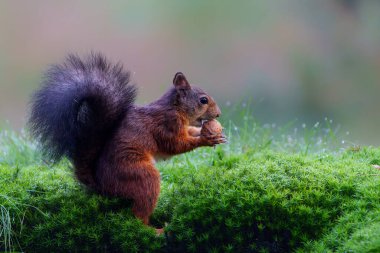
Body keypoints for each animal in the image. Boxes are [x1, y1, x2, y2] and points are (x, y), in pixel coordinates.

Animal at [29, 52, 227, 226]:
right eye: (203, 100)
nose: (218, 114)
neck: (174, 108)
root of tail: (102, 187)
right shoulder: (166, 125)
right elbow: (175, 145)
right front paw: (205, 139)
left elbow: (189, 133)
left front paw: (209, 131)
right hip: (139, 175)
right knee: (138, 214)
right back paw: (155, 230)